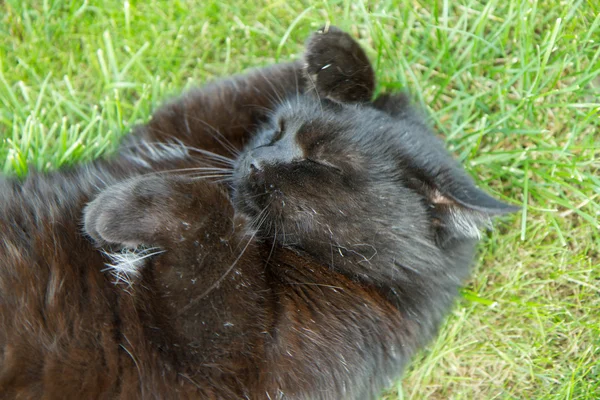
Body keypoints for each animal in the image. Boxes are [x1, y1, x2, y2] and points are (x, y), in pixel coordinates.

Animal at [0, 26, 516, 398]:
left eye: (324, 164)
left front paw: (108, 210)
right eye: (280, 128)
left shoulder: (222, 365)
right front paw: (335, 58)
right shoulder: (171, 130)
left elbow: (212, 221)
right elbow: (239, 90)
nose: (255, 160)